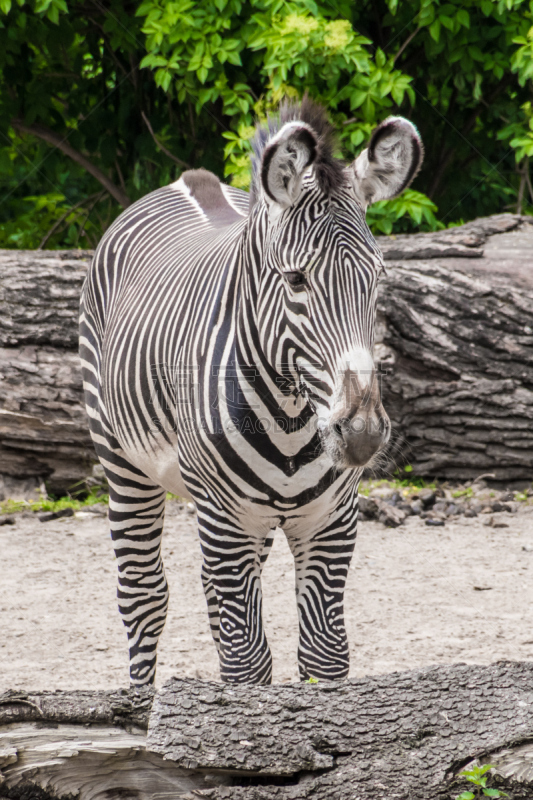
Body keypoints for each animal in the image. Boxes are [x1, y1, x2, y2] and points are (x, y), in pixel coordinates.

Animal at [79, 98, 422, 688]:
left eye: (377, 281)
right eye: (296, 280)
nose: (360, 434)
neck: (291, 420)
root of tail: (193, 181)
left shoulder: (331, 521)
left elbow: (323, 654)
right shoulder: (223, 517)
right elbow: (248, 664)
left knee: (215, 602)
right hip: (123, 461)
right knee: (143, 596)